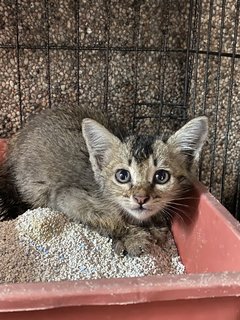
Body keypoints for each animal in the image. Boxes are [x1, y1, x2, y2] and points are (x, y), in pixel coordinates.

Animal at [0, 106, 207, 256]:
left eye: (161, 177)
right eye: (122, 176)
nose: (140, 198)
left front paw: (155, 226)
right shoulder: (65, 198)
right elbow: (108, 219)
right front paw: (132, 237)